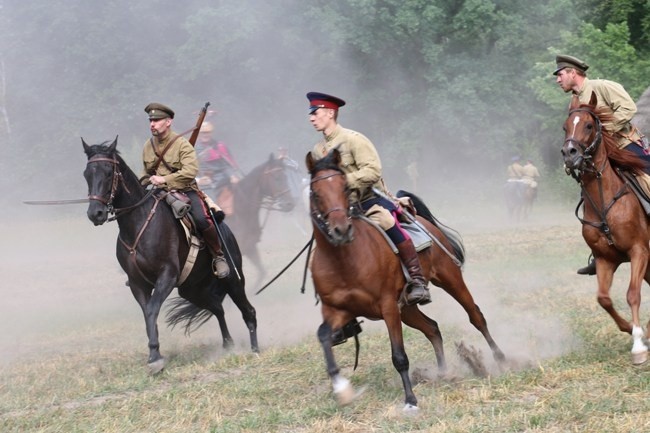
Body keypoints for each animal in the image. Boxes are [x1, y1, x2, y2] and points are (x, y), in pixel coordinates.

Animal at [83, 137, 258, 372]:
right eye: (87, 173)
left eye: (109, 172)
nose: (96, 213)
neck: (139, 222)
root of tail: (227, 231)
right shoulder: (137, 284)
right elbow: (148, 313)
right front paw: (154, 355)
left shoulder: (166, 276)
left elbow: (152, 309)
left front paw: (155, 357)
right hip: (192, 289)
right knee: (217, 308)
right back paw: (228, 345)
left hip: (232, 280)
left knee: (248, 311)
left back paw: (255, 349)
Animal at [306, 148, 506, 408]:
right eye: (316, 193)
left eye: (345, 188)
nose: (342, 230)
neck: (344, 260)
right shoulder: (337, 311)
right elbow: (323, 337)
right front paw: (342, 390)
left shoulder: (388, 307)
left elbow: (399, 356)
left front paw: (410, 400)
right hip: (408, 309)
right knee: (432, 328)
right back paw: (443, 373)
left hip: (450, 280)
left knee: (476, 316)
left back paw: (500, 358)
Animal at [556, 92, 648, 364]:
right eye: (565, 127)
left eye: (588, 125)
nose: (569, 153)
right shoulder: (606, 260)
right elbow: (604, 299)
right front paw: (633, 330)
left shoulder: (639, 251)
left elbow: (632, 294)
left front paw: (638, 347)